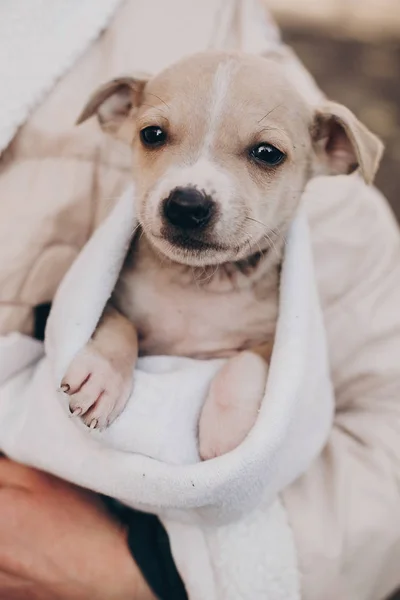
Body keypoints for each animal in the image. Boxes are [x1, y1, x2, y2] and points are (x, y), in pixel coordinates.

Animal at [61, 51, 382, 460]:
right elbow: (118, 325)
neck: (201, 282)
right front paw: (100, 375)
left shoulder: (274, 341)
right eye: (152, 134)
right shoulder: (114, 299)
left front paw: (228, 429)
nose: (186, 205)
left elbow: (245, 362)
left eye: (267, 153)